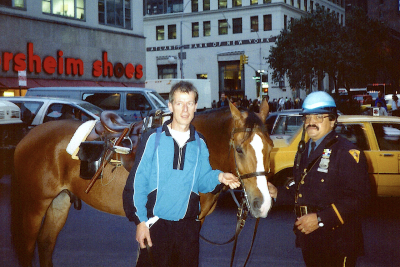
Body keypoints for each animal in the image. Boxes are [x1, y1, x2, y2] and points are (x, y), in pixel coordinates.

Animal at [11, 101, 272, 267]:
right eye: (239, 149)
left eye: (270, 148)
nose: (263, 203)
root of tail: (28, 136)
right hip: (35, 204)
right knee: (27, 249)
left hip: (60, 201)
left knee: (46, 244)